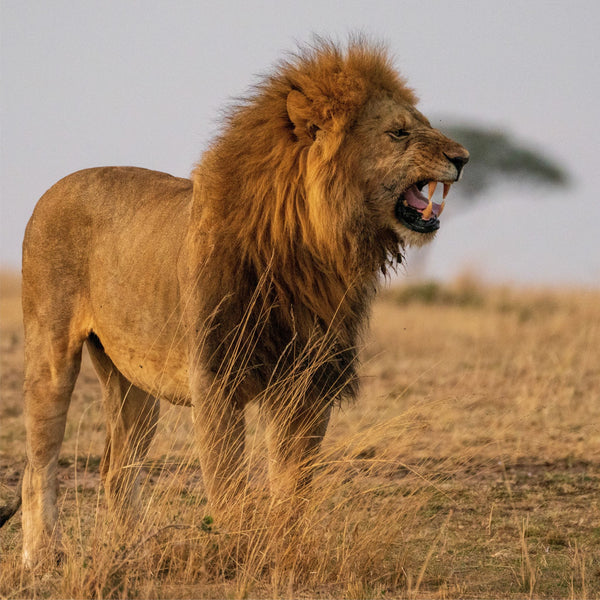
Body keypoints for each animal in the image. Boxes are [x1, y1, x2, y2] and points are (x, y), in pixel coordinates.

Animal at [8, 38, 468, 568]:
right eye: (399, 133)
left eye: (422, 122)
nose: (464, 157)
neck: (311, 246)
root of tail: (52, 190)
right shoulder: (216, 376)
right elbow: (228, 482)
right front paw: (239, 553)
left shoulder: (308, 380)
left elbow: (293, 484)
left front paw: (288, 551)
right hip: (51, 353)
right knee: (39, 463)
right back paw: (42, 556)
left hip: (132, 382)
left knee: (116, 467)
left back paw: (139, 551)